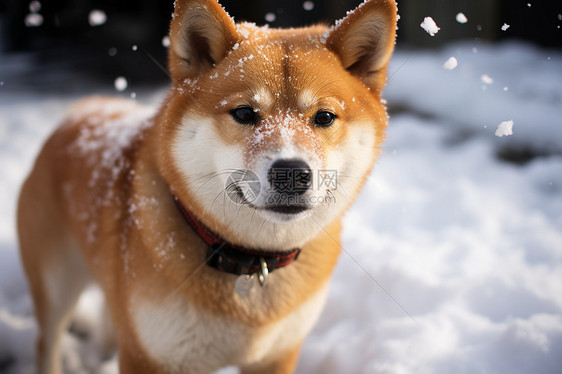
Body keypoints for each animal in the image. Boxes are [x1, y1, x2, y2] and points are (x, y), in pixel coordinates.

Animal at [16, 0, 394, 372]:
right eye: (244, 113)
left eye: (324, 117)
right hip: (57, 284)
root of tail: (84, 110)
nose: (291, 173)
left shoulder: (278, 355)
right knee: (47, 342)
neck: (250, 262)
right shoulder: (148, 355)